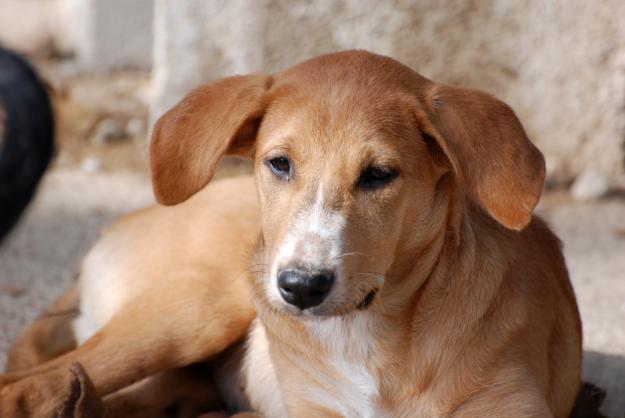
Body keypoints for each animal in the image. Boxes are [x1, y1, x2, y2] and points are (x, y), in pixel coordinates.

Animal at [2, 50, 584, 416]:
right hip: (196, 310)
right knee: (25, 387)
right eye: (279, 163)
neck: (374, 339)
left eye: (379, 174)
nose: (301, 287)